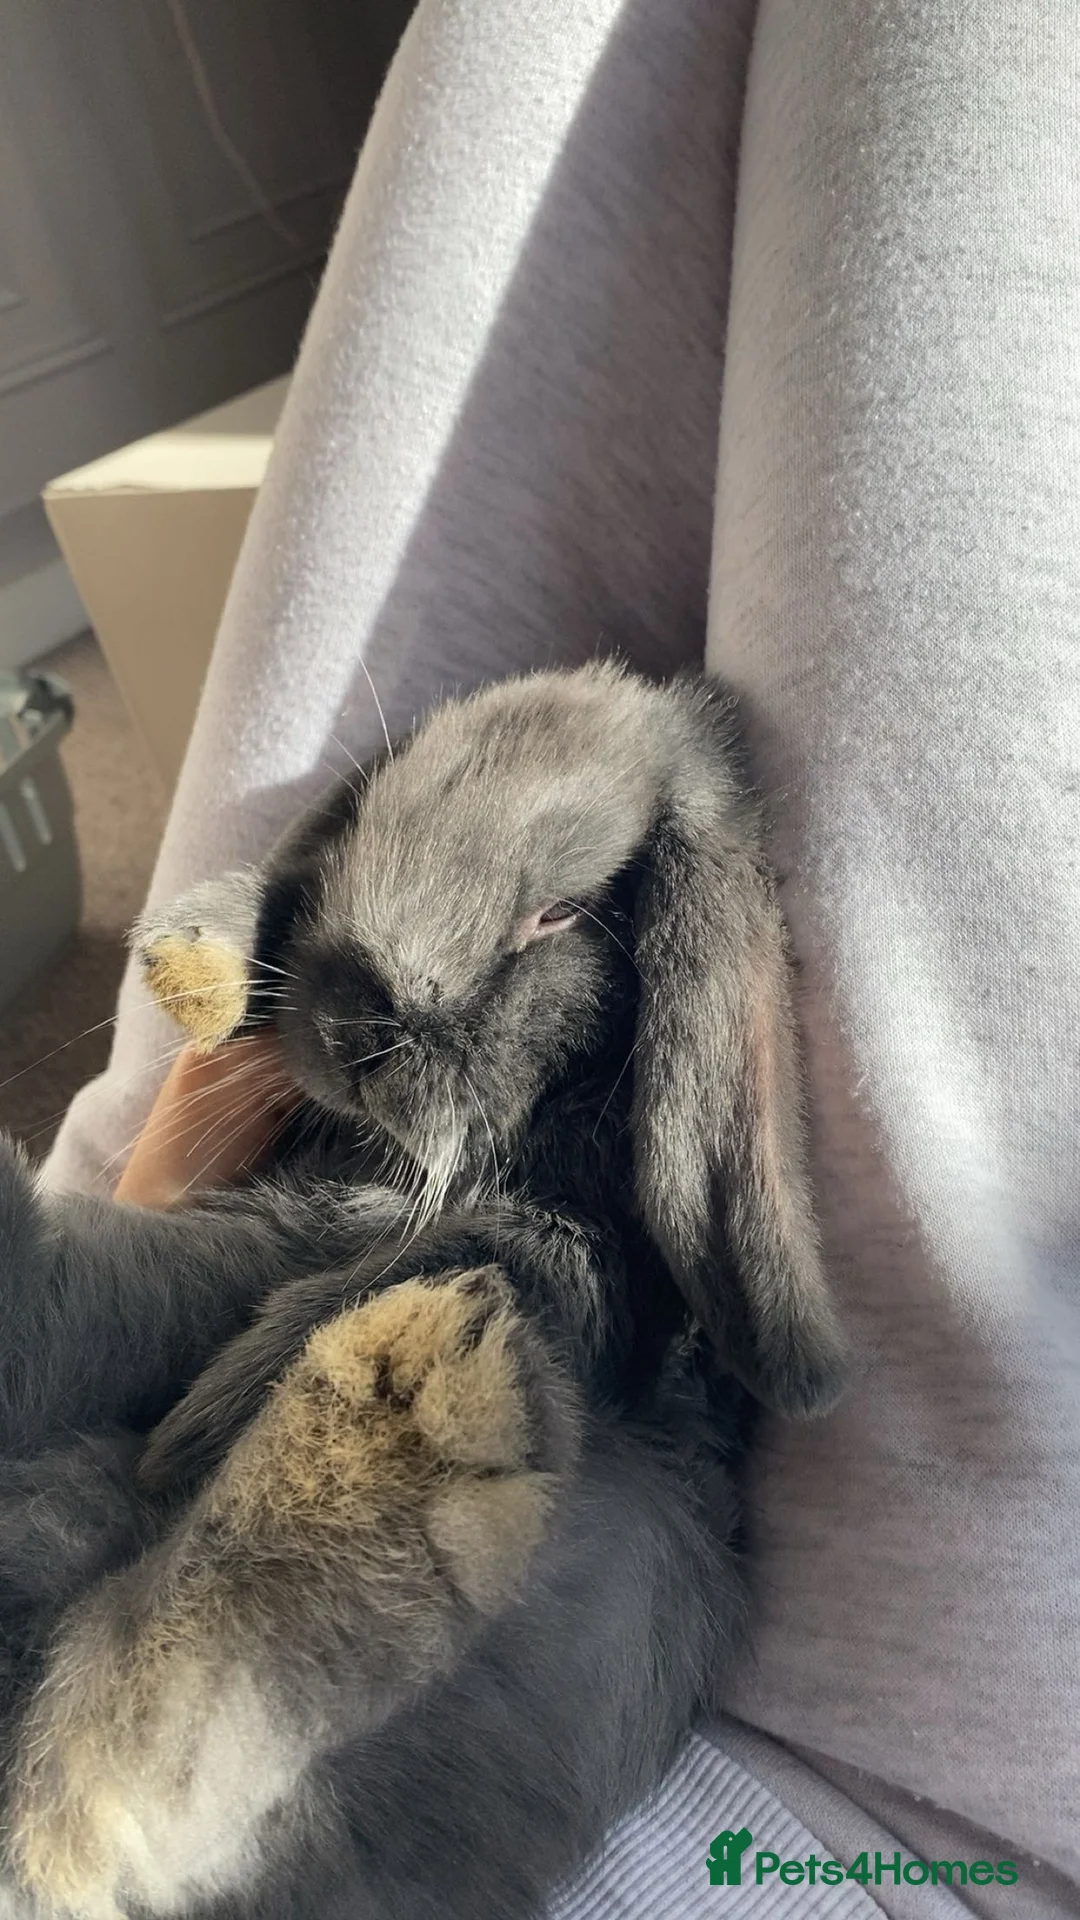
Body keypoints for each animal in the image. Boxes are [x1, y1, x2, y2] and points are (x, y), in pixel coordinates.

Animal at [0, 661, 845, 1920]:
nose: (356, 1023)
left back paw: (406, 1402)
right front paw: (196, 963)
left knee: (117, 1787)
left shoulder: (588, 1269)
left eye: (559, 914)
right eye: (356, 829)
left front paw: (229, 1405)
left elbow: (496, 1256)